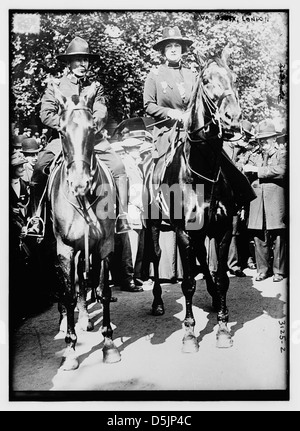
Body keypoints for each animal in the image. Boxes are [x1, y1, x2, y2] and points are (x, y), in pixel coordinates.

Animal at [145, 49, 246, 352]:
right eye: (206, 80)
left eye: (233, 77)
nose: (233, 117)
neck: (203, 173)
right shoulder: (183, 233)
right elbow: (188, 282)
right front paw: (189, 333)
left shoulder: (221, 230)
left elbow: (222, 278)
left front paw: (223, 327)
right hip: (153, 225)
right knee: (156, 258)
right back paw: (157, 302)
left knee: (202, 256)